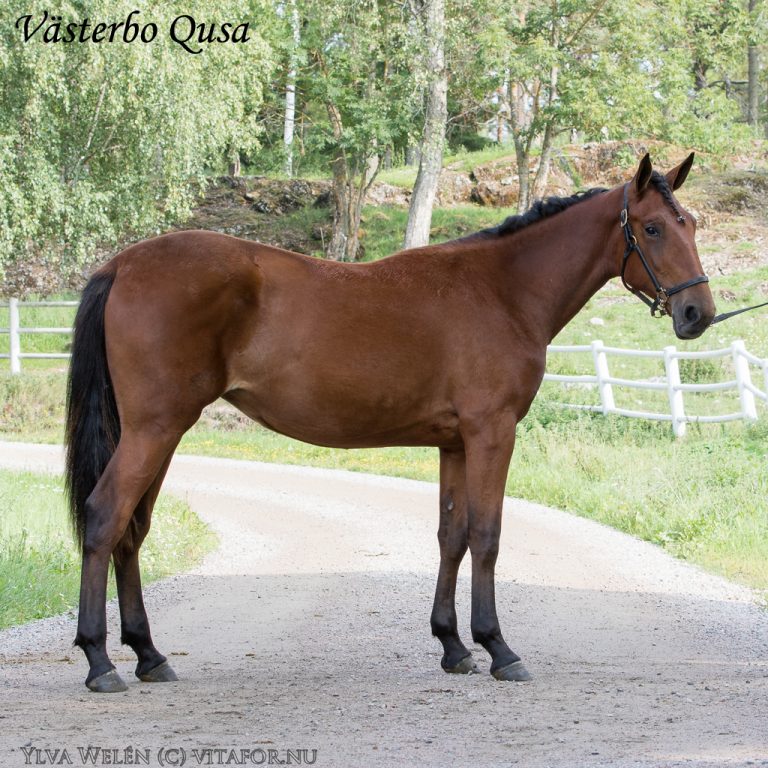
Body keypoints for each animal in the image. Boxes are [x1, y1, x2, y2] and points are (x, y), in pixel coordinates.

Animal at [64, 153, 712, 692]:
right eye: (653, 228)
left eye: (691, 226)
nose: (696, 313)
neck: (503, 291)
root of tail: (122, 264)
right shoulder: (492, 433)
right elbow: (487, 536)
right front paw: (499, 649)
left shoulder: (455, 444)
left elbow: (452, 536)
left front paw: (454, 646)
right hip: (154, 430)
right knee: (105, 516)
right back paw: (99, 662)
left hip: (158, 433)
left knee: (132, 530)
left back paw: (149, 655)